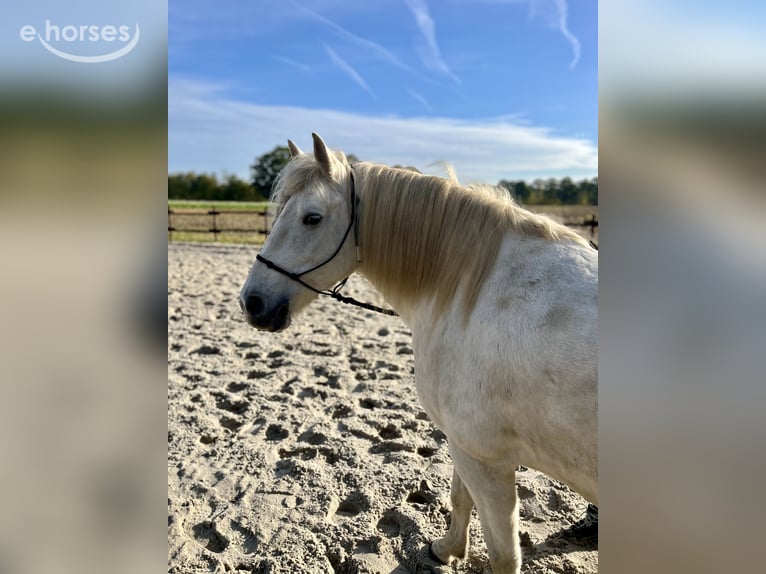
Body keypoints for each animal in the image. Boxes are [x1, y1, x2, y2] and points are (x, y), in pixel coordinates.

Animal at [239, 133, 597, 574]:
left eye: (312, 218)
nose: (251, 302)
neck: (472, 292)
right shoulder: (463, 445)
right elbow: (459, 497)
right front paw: (447, 549)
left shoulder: (485, 458)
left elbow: (503, 554)